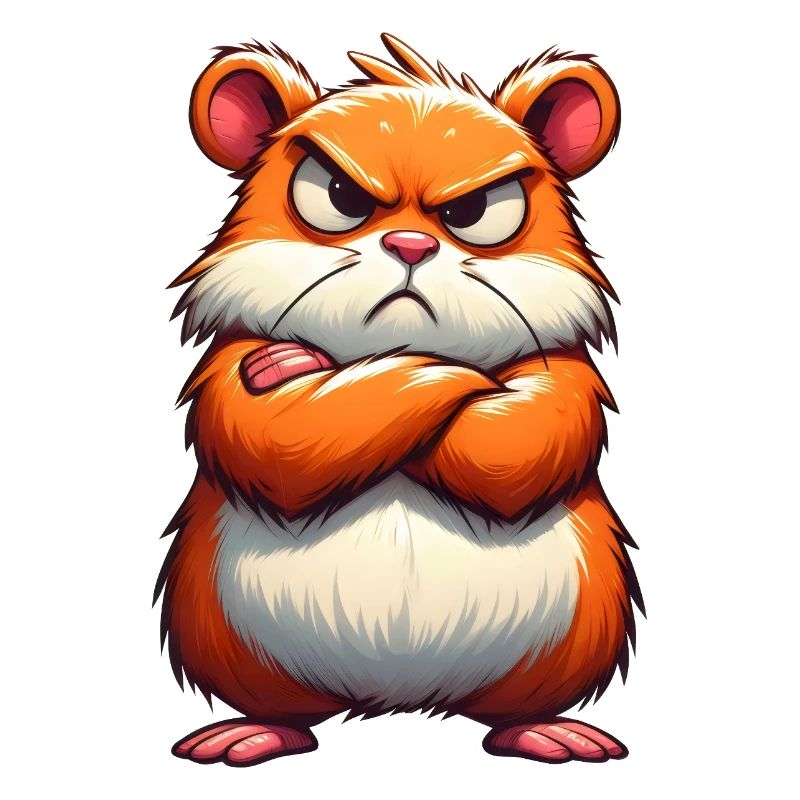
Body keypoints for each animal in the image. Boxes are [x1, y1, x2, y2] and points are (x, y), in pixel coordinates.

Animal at [155, 34, 643, 767]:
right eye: (339, 195)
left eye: (472, 212)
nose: (410, 244)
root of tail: (400, 698)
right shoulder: (227, 370)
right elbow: (278, 446)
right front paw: (296, 366)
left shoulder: (564, 378)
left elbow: (515, 445)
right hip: (220, 634)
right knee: (283, 710)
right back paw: (254, 732)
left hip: (578, 632)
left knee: (513, 710)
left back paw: (543, 730)